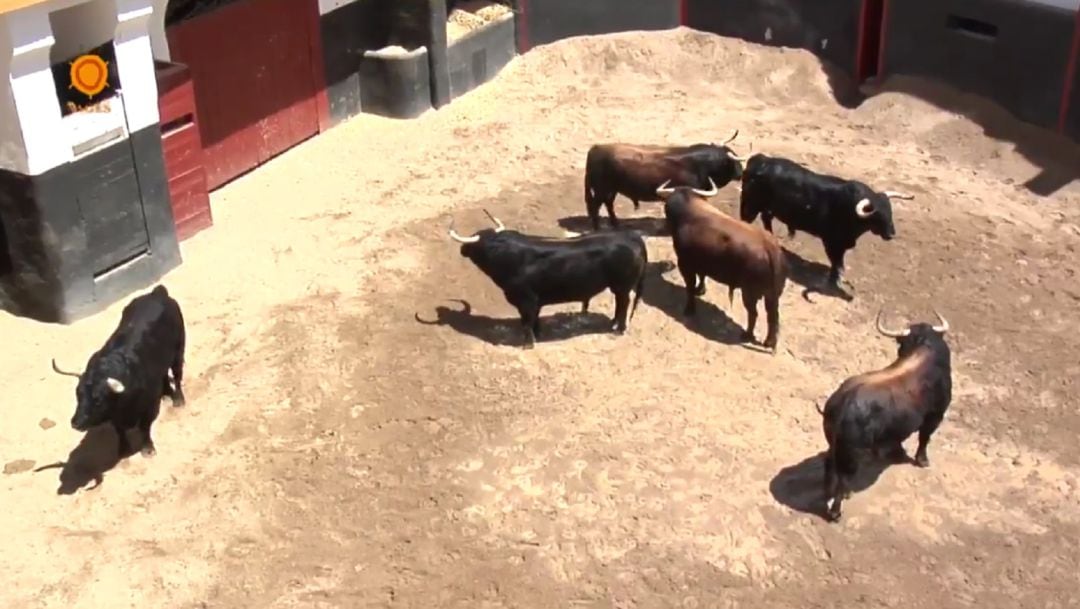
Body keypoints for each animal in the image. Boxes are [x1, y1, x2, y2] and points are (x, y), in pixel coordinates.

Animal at [50, 285, 186, 457]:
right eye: (78, 396)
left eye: (98, 400)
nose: (76, 423)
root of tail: (157, 293)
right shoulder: (115, 416)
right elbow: (119, 430)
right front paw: (123, 449)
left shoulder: (148, 406)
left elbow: (144, 427)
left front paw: (147, 448)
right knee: (164, 375)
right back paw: (168, 393)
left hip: (179, 351)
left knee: (177, 375)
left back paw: (178, 399)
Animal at [447, 211, 648, 349]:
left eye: (476, 247)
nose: (462, 250)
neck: (507, 254)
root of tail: (631, 236)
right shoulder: (534, 302)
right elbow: (534, 320)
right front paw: (538, 335)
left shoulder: (526, 300)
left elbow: (527, 321)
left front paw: (528, 344)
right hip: (618, 287)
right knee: (620, 304)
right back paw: (613, 324)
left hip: (622, 286)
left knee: (623, 304)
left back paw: (619, 329)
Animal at [583, 128, 751, 231]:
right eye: (734, 161)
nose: (741, 174)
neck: (703, 164)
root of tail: (595, 148)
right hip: (601, 189)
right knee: (595, 206)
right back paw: (597, 228)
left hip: (611, 189)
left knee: (608, 204)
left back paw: (616, 225)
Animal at [656, 176, 786, 352]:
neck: (688, 211)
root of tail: (769, 246)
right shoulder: (701, 262)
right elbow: (702, 276)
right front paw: (700, 290)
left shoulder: (685, 264)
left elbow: (690, 286)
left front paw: (689, 308)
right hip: (772, 295)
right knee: (772, 316)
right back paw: (769, 342)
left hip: (749, 293)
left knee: (754, 313)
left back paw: (747, 335)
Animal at [816, 308, 954, 522]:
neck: (923, 349)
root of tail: (843, 402)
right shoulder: (935, 415)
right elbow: (924, 438)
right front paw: (922, 460)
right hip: (852, 451)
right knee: (843, 475)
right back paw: (836, 511)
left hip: (834, 443)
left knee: (830, 465)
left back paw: (829, 495)